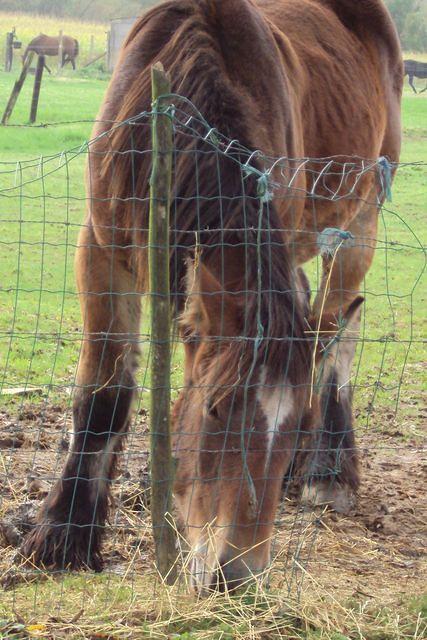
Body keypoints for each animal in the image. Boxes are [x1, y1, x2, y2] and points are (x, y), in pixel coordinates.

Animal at [22, 0, 404, 592]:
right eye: (216, 409)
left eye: (288, 429)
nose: (237, 574)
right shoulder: (102, 250)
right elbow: (103, 393)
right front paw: (65, 537)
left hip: (358, 225)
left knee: (339, 335)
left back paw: (328, 471)